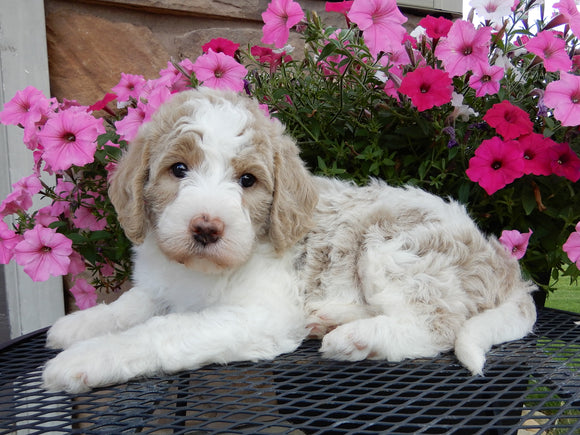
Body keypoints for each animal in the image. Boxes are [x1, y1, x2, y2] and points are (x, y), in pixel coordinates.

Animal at [43, 87, 536, 394]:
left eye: (248, 180)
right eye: (178, 169)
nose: (206, 228)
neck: (202, 274)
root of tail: (501, 258)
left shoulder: (259, 314)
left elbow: (161, 331)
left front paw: (87, 360)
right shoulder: (165, 285)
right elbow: (130, 305)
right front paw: (79, 326)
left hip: (392, 245)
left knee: (438, 325)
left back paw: (354, 339)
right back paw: (328, 319)